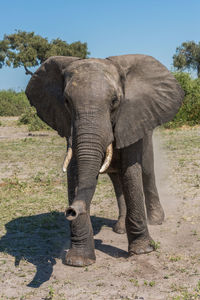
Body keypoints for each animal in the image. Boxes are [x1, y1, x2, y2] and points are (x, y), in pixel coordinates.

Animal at [25, 54, 184, 268]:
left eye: (115, 101)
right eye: (66, 101)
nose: (70, 211)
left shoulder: (132, 118)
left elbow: (131, 171)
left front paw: (143, 251)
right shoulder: (68, 124)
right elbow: (75, 172)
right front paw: (78, 261)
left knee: (146, 170)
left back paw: (156, 220)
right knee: (116, 179)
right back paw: (120, 228)